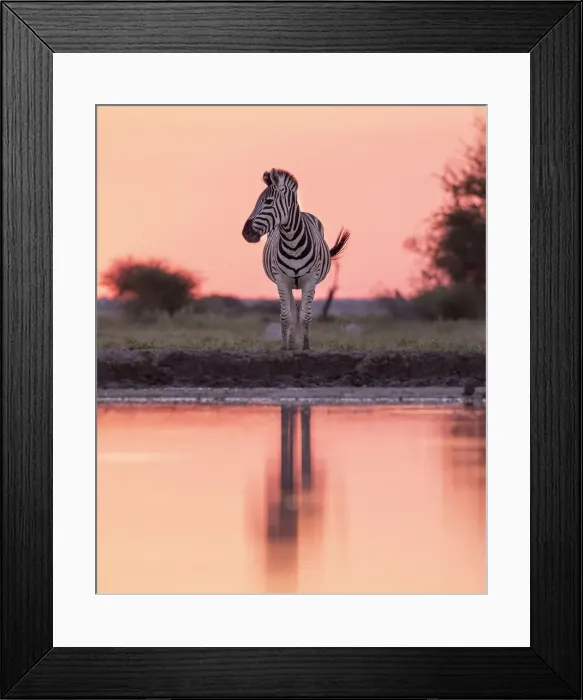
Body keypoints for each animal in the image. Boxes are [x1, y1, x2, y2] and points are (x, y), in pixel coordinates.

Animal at [242, 168, 350, 351]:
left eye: (268, 202)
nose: (246, 233)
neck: (292, 243)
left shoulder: (310, 281)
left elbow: (306, 316)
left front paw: (306, 347)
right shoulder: (281, 280)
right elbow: (286, 316)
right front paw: (285, 348)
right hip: (288, 284)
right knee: (292, 311)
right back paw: (292, 344)